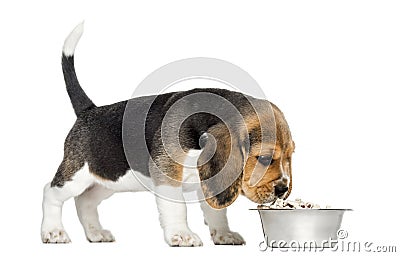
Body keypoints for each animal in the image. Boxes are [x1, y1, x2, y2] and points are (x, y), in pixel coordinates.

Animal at [41, 23, 294, 244]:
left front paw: (223, 234)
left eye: (289, 157)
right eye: (264, 158)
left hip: (109, 179)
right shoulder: (167, 175)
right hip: (76, 176)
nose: (283, 189)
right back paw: (53, 231)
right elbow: (177, 208)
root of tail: (89, 110)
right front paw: (182, 235)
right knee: (50, 192)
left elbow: (216, 210)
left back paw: (95, 232)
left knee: (85, 201)